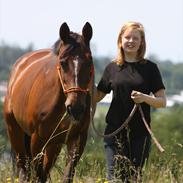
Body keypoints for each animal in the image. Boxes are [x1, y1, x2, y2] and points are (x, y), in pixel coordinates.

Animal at [3, 22, 93, 182]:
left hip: (53, 146)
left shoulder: (77, 140)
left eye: (90, 61)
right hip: (15, 132)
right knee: (24, 170)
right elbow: (37, 175)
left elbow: (66, 175)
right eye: (63, 62)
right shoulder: (37, 140)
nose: (75, 108)